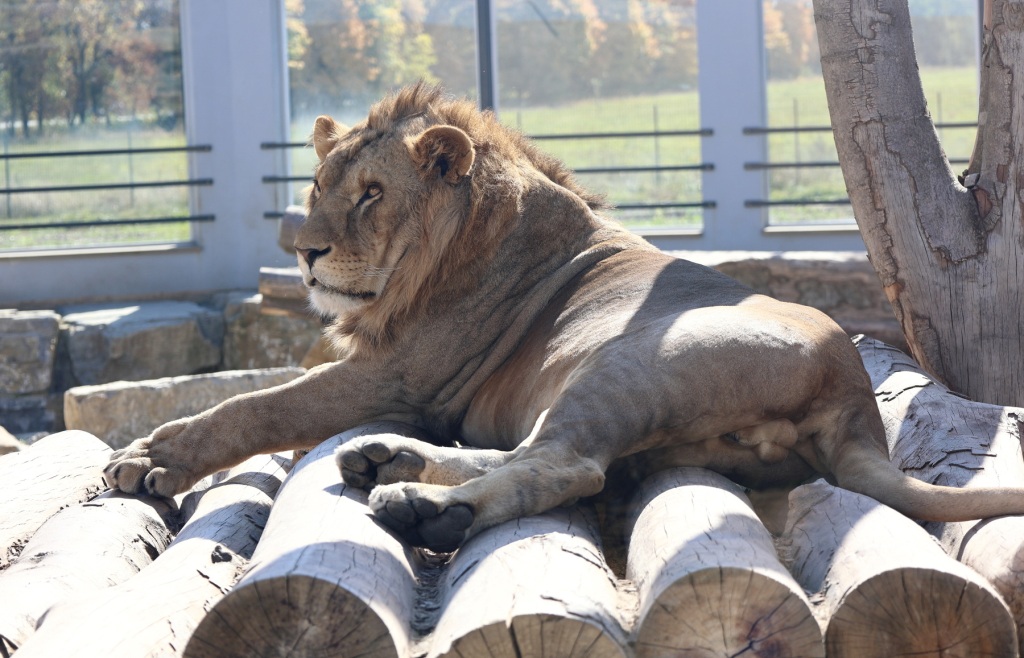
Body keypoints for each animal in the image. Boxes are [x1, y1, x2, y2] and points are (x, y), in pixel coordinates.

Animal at [105, 83, 1024, 552]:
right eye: (318, 188)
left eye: (371, 194)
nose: (305, 253)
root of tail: (857, 398)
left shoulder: (397, 377)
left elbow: (254, 405)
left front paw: (150, 460)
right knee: (553, 457)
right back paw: (383, 462)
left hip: (628, 361)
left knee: (568, 465)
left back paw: (420, 506)